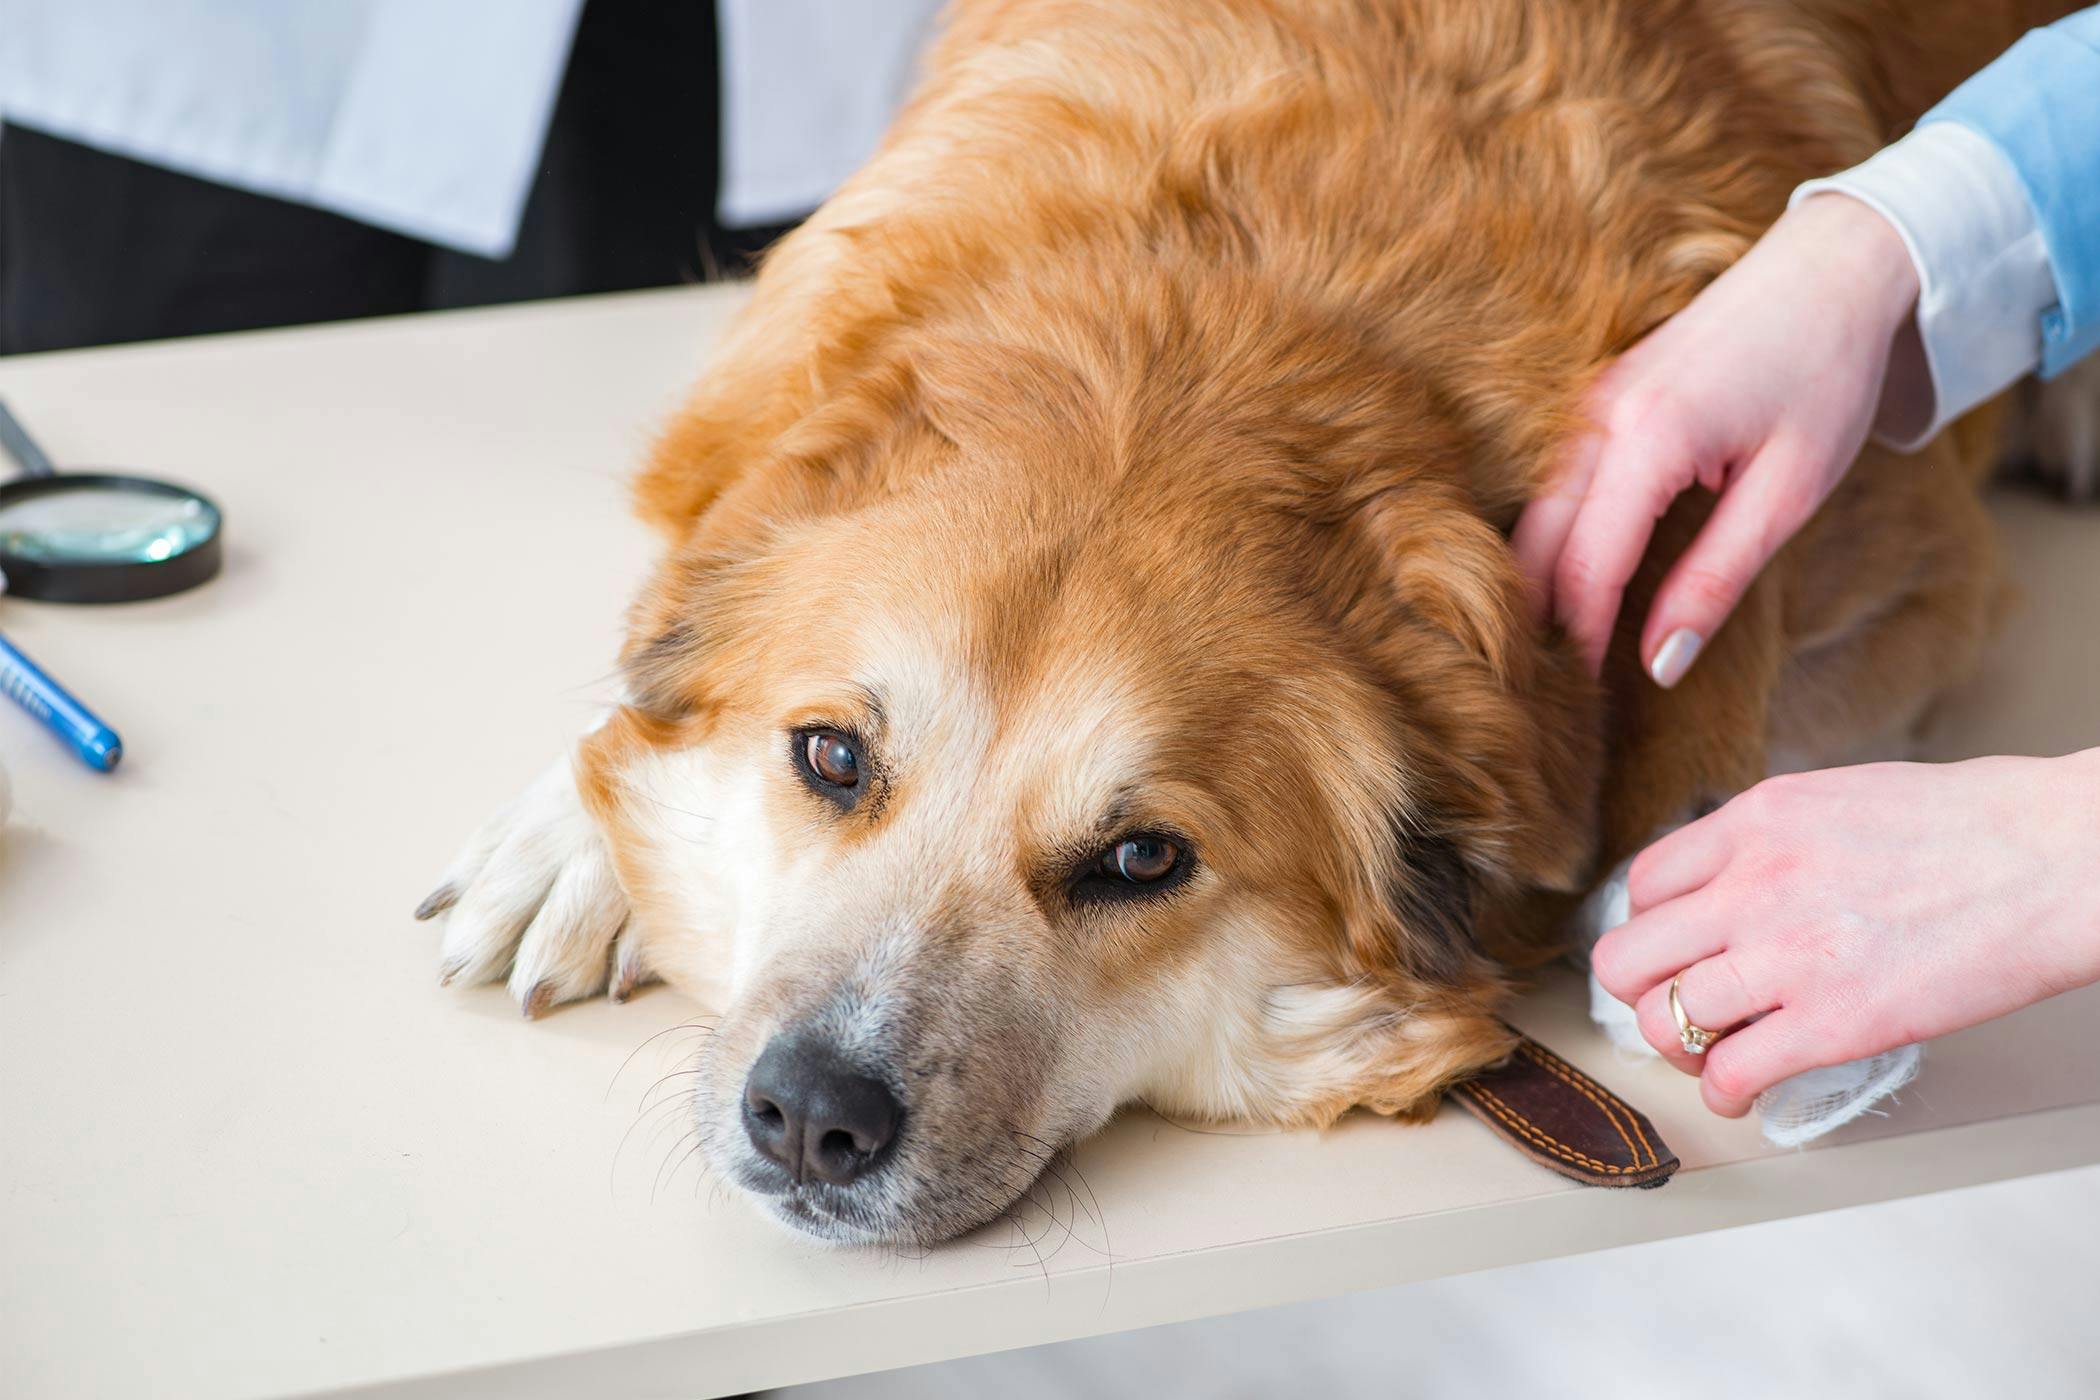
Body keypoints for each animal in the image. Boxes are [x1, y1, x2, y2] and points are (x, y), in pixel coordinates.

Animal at [417, 0, 2091, 1250]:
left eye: (1142, 860)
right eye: (829, 757)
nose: (815, 1116)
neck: (1221, 334)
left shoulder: (1910, 580)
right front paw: (574, 840)